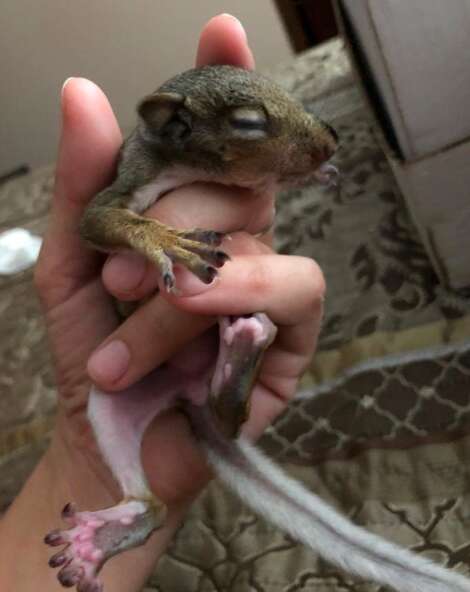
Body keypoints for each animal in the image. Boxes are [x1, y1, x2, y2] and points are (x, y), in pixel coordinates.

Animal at [45, 65, 470, 592]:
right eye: (249, 123)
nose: (331, 142)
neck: (185, 168)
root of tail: (188, 391)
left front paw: (318, 174)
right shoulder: (127, 183)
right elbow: (99, 220)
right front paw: (167, 240)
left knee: (223, 420)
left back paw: (242, 354)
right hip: (110, 402)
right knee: (155, 504)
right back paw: (105, 536)